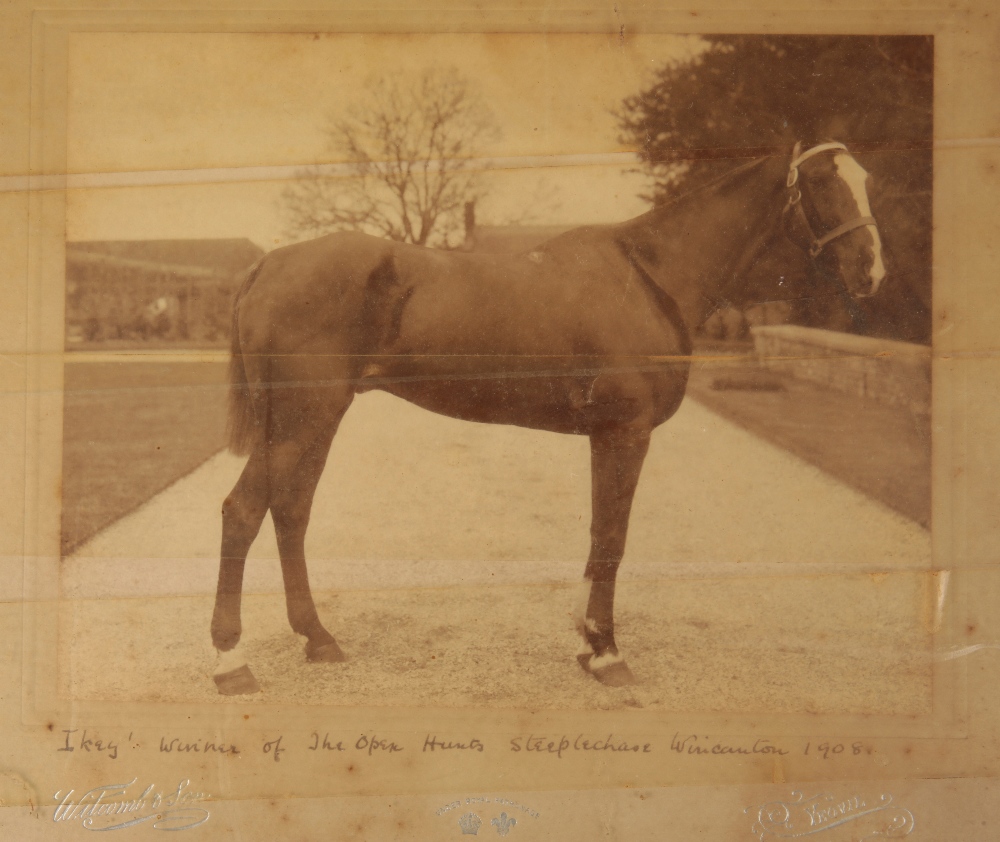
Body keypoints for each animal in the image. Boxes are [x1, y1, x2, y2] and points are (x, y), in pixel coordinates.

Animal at [209, 143, 884, 688]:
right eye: (822, 182)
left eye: (866, 178)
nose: (871, 270)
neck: (650, 275)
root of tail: (268, 265)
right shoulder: (626, 432)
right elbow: (612, 537)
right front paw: (609, 654)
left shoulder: (604, 435)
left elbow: (597, 533)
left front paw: (588, 642)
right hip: (305, 415)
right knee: (244, 511)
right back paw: (230, 662)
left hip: (315, 418)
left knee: (290, 512)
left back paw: (317, 638)